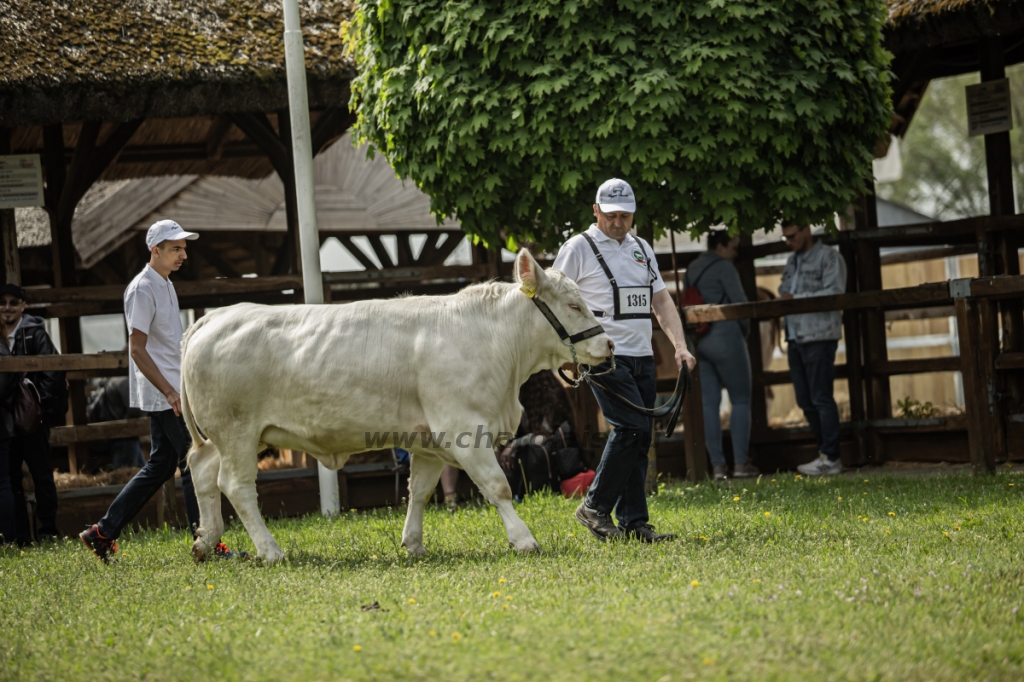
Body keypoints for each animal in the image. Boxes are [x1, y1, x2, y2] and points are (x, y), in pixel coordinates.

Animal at [183, 248, 610, 557]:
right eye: (574, 305)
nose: (607, 343)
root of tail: (216, 316)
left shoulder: (429, 442)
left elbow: (418, 491)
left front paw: (414, 543)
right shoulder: (463, 429)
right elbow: (498, 486)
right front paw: (524, 539)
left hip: (233, 436)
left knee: (202, 471)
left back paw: (206, 541)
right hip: (236, 431)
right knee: (236, 486)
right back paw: (270, 550)